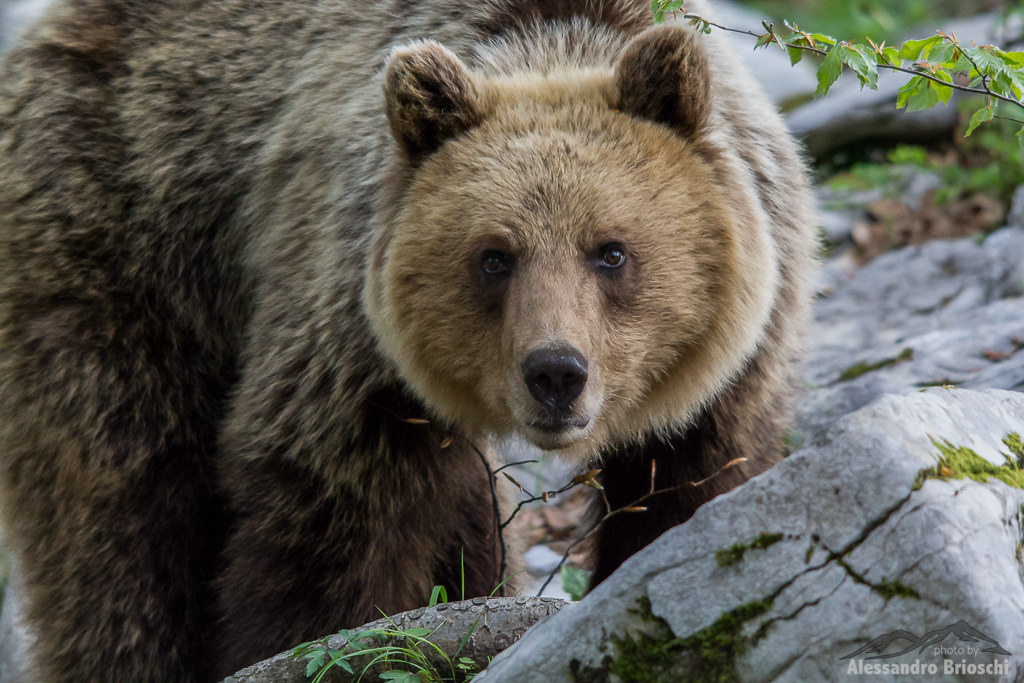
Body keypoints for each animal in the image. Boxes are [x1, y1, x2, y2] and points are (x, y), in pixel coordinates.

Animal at [0, 0, 817, 680]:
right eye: (494, 256)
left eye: (610, 251)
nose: (556, 372)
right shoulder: (351, 343)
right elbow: (334, 520)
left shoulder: (734, 359)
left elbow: (693, 485)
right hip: (127, 229)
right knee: (122, 497)